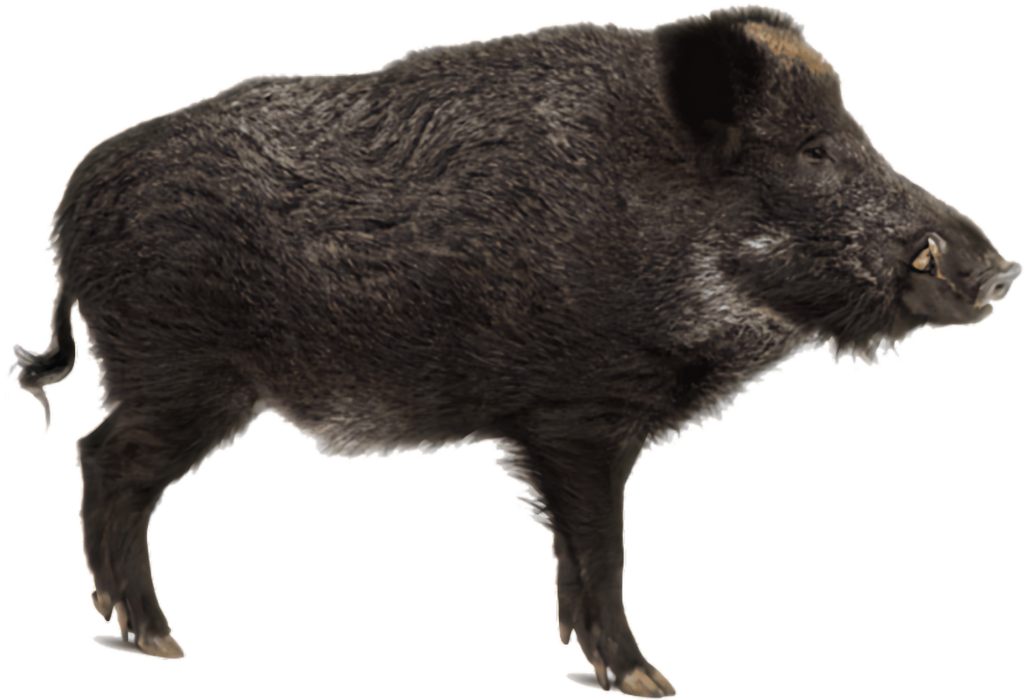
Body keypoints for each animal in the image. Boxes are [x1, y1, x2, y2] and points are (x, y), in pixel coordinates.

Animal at [7, 4, 1020, 696]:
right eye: (813, 150)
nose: (1002, 269)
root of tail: (72, 207)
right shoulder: (576, 415)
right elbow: (602, 546)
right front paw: (649, 683)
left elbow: (573, 555)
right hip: (184, 369)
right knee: (104, 458)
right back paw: (158, 639)